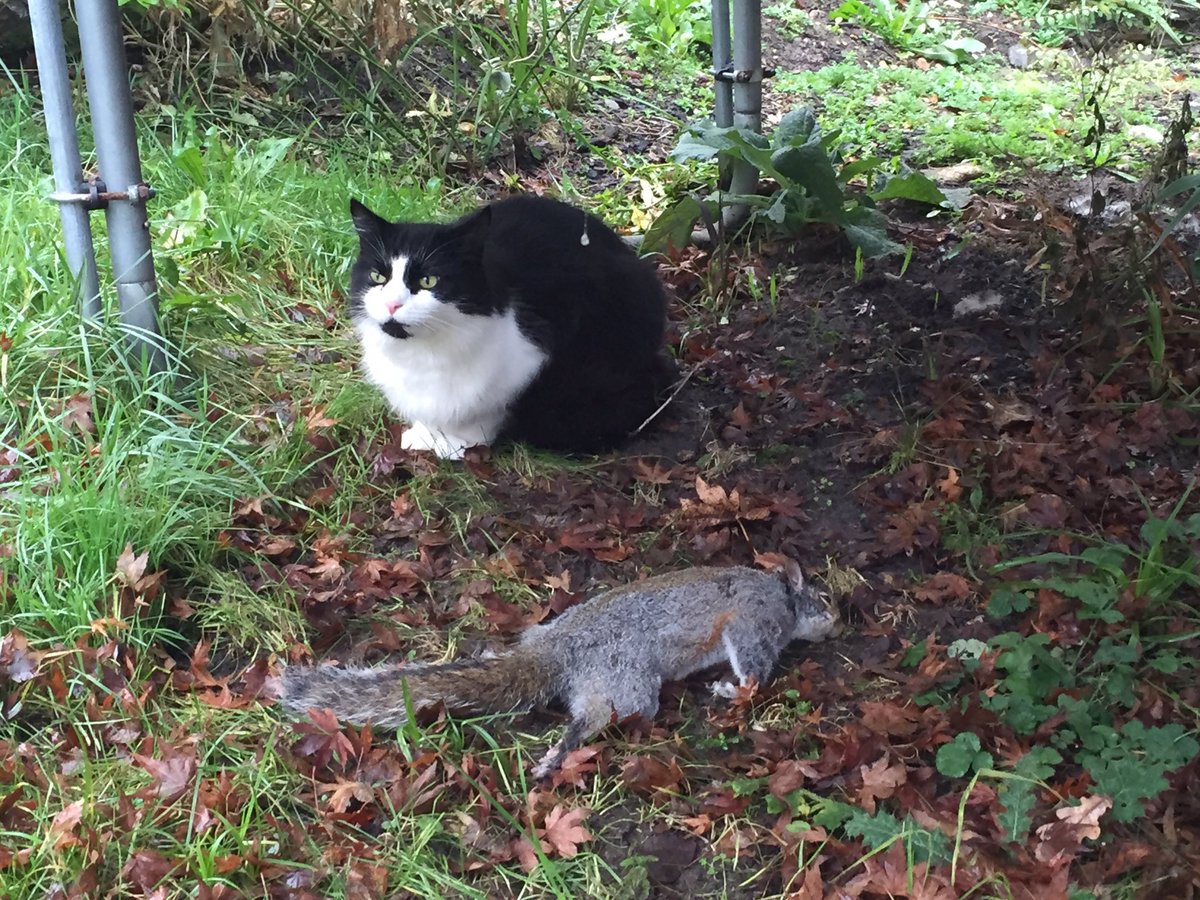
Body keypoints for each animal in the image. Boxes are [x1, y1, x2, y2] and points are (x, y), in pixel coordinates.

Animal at [281, 562, 840, 778]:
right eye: (824, 597)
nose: (837, 624)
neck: (782, 599)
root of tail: (555, 649)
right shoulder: (753, 619)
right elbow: (753, 669)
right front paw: (733, 690)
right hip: (624, 684)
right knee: (592, 722)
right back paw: (555, 757)